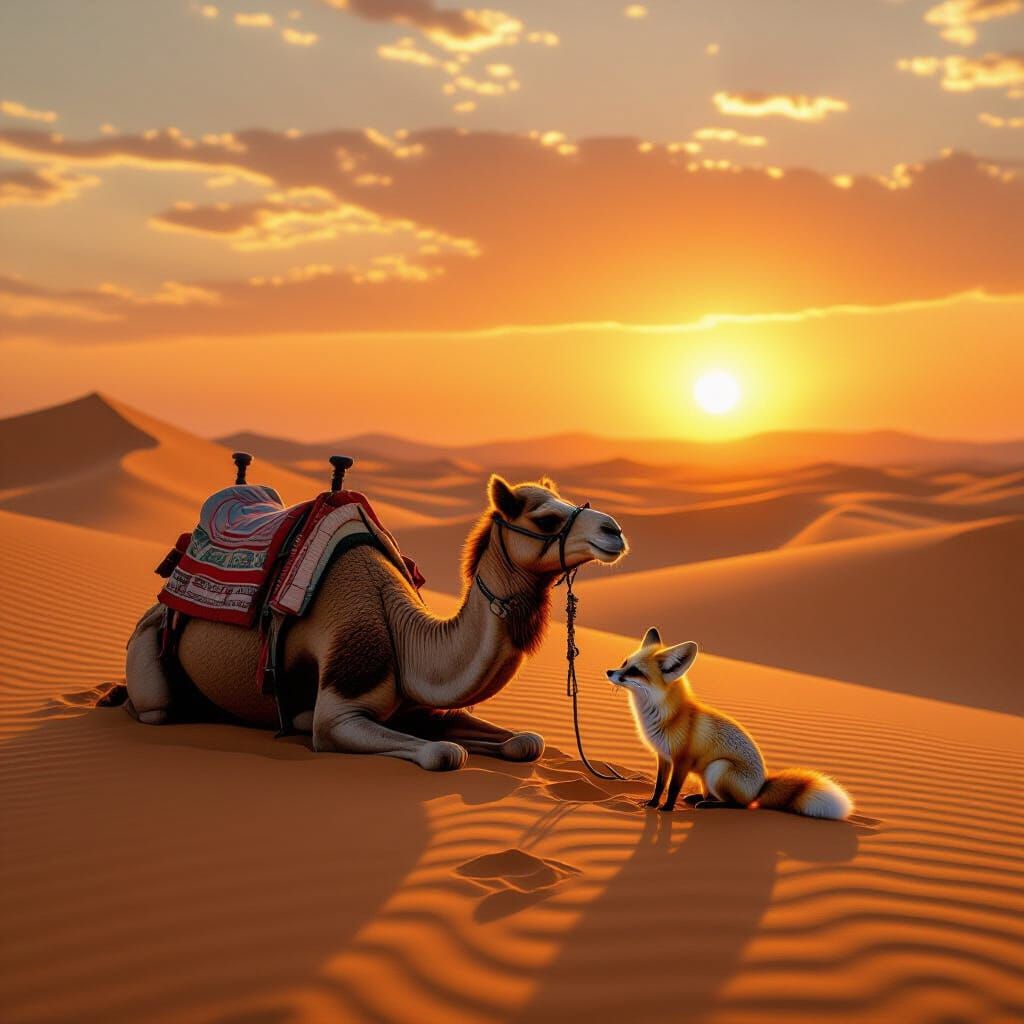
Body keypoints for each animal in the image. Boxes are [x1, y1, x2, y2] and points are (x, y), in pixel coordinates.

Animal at [122, 475, 627, 770]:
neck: (407, 639)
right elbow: (444, 752)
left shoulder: (423, 705)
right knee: (154, 707)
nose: (614, 530)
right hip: (149, 656)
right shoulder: (337, 713)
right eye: (546, 519)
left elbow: (526, 742)